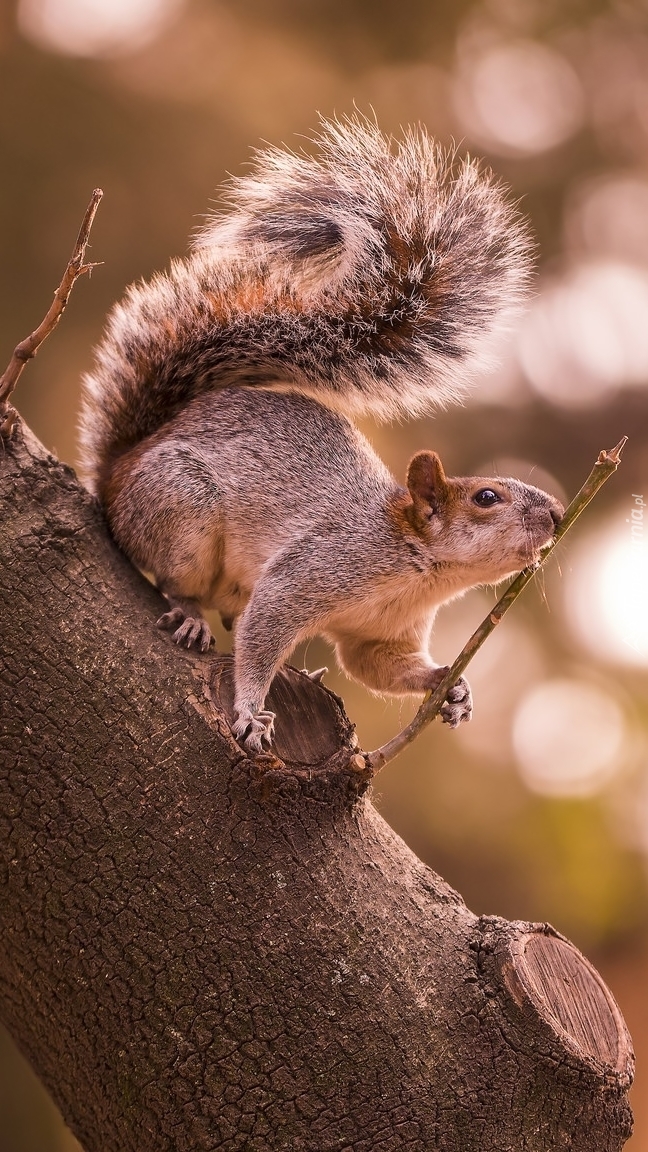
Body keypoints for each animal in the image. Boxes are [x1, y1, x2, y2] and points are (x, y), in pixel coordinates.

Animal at [76, 119, 560, 755]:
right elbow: (264, 632)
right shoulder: (312, 570)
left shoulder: (381, 635)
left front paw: (450, 686)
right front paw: (250, 711)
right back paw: (188, 614)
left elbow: (374, 666)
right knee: (173, 575)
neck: (418, 570)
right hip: (178, 499)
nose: (557, 514)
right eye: (486, 497)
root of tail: (119, 467)